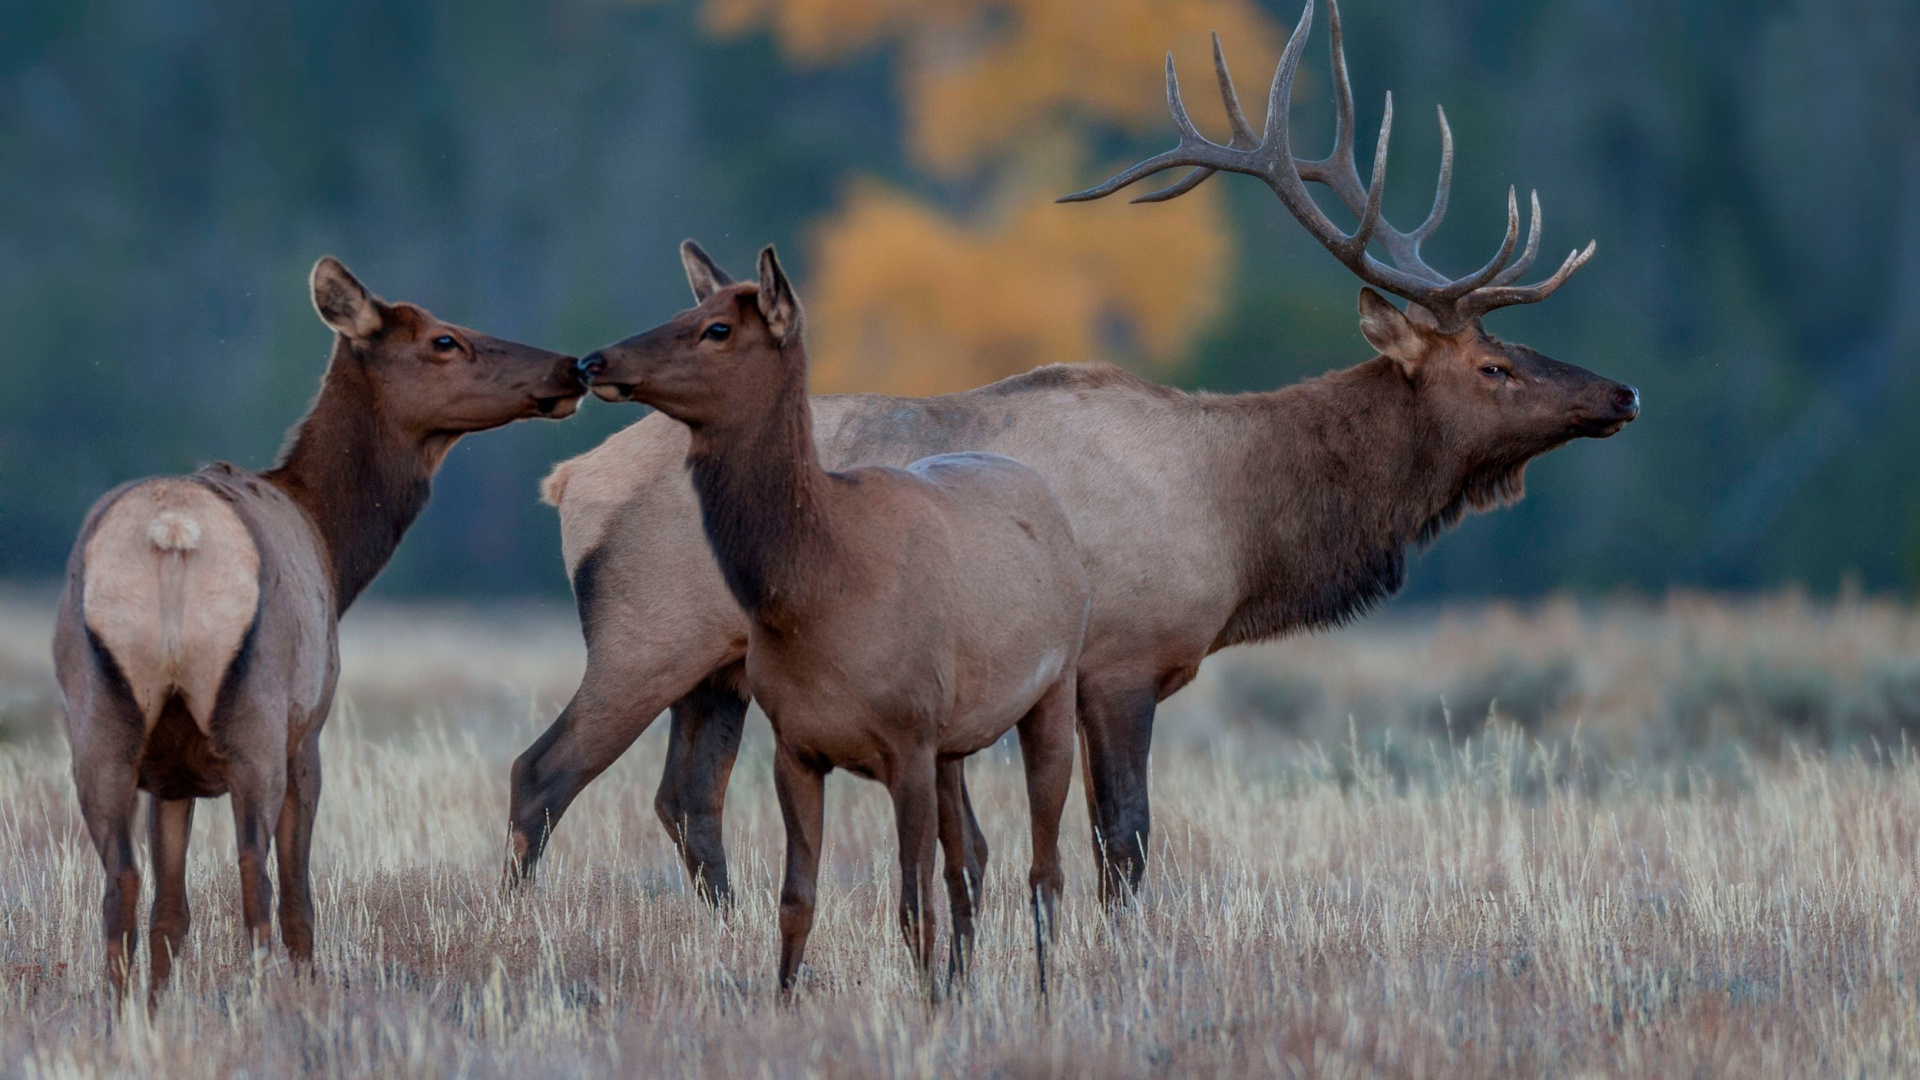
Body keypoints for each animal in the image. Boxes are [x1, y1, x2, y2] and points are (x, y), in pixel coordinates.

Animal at [56, 255, 579, 999]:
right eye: (444, 339)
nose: (571, 368)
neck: (334, 544)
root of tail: (171, 533)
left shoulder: (171, 773)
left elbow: (171, 909)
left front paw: (160, 1001)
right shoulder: (309, 731)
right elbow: (298, 892)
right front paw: (307, 988)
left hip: (99, 717)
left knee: (122, 880)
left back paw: (122, 1004)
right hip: (258, 713)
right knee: (257, 875)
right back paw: (260, 996)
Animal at [510, 0, 1635, 907]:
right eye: (1494, 366)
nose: (1621, 392)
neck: (1240, 521)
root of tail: (566, 481)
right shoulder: (1120, 660)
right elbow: (1122, 844)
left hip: (720, 670)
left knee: (685, 804)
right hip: (644, 638)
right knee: (541, 777)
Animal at [576, 242, 1090, 991]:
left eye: (717, 329)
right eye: (686, 307)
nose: (595, 361)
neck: (820, 597)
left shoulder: (908, 738)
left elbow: (911, 904)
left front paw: (926, 1005)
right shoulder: (797, 744)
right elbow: (796, 900)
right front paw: (789, 999)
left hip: (1053, 686)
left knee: (1043, 869)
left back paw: (1044, 996)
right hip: (955, 738)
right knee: (973, 856)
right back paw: (965, 984)